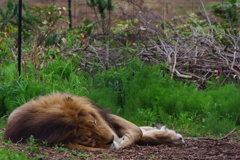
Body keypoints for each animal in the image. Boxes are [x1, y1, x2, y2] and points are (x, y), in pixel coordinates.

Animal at [4, 92, 186, 150]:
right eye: (88, 139)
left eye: (95, 123)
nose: (110, 140)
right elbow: (135, 134)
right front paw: (119, 142)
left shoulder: (105, 116)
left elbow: (137, 131)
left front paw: (172, 137)